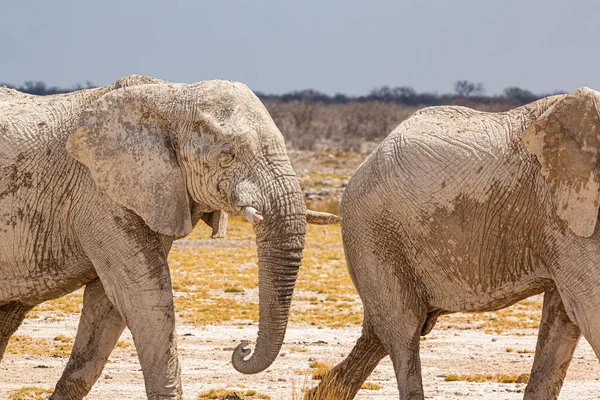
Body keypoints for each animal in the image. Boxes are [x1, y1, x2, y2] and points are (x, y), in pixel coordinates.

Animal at [0, 74, 338, 396]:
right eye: (227, 155)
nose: (242, 348)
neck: (172, 95)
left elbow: (108, 304)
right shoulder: (98, 195)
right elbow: (143, 295)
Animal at [308, 88, 600, 400]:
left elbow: (564, 316)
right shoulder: (561, 213)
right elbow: (587, 308)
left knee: (377, 336)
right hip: (374, 233)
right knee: (403, 332)